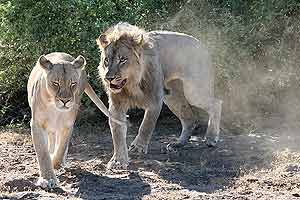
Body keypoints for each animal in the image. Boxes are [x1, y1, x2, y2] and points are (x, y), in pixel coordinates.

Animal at [27, 52, 124, 188]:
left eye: (73, 83)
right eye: (56, 83)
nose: (65, 101)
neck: (55, 109)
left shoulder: (67, 125)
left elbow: (61, 148)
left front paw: (56, 164)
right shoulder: (37, 124)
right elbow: (43, 152)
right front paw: (48, 179)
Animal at [97, 22, 221, 170]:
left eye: (122, 60)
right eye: (106, 60)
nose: (109, 78)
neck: (131, 84)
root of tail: (203, 46)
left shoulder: (155, 100)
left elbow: (146, 125)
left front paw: (138, 146)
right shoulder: (117, 106)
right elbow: (117, 133)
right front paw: (118, 160)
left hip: (193, 91)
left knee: (216, 103)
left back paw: (211, 138)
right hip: (172, 96)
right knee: (189, 118)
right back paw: (178, 143)